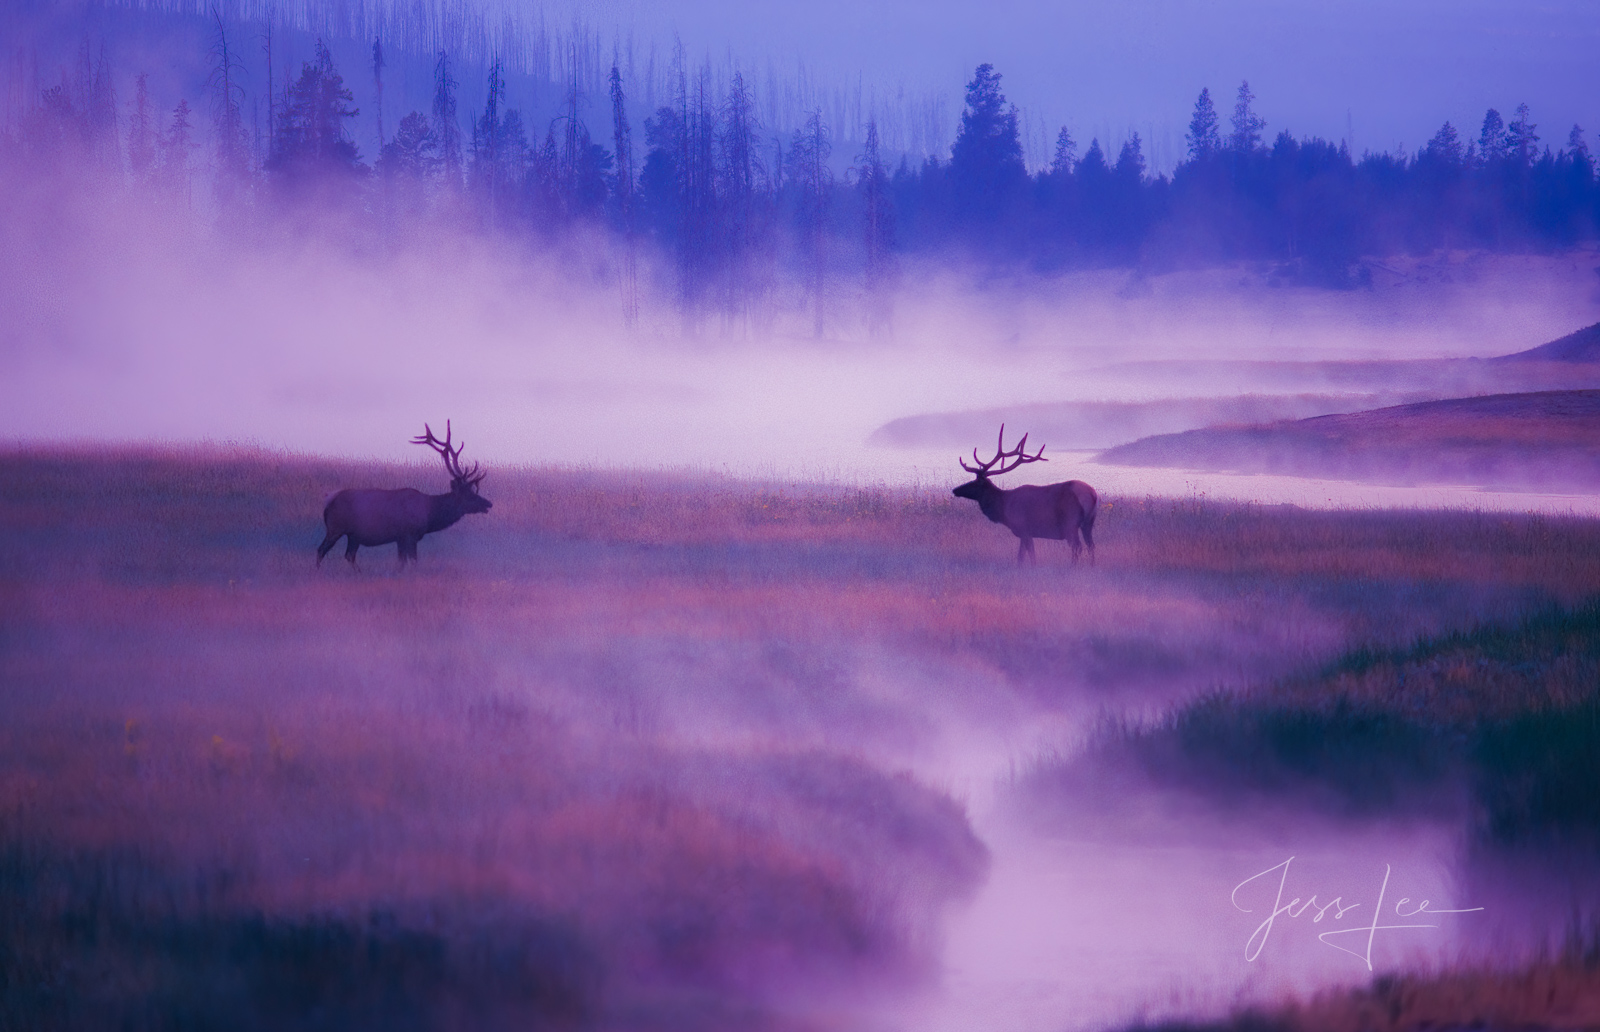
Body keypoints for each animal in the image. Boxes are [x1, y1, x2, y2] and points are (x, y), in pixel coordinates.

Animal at [312, 419, 486, 566]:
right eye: (468, 494)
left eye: (473, 491)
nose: (488, 503)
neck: (429, 514)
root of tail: (327, 504)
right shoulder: (410, 535)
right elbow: (412, 562)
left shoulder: (400, 538)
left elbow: (401, 563)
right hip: (335, 527)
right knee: (321, 550)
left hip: (352, 535)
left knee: (349, 555)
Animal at [953, 425, 1094, 563]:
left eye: (975, 482)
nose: (955, 490)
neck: (1003, 508)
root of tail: (1092, 495)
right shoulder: (1023, 533)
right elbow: (1021, 557)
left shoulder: (1024, 528)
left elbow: (1029, 556)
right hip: (1088, 523)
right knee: (1091, 545)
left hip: (1070, 523)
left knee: (1077, 546)